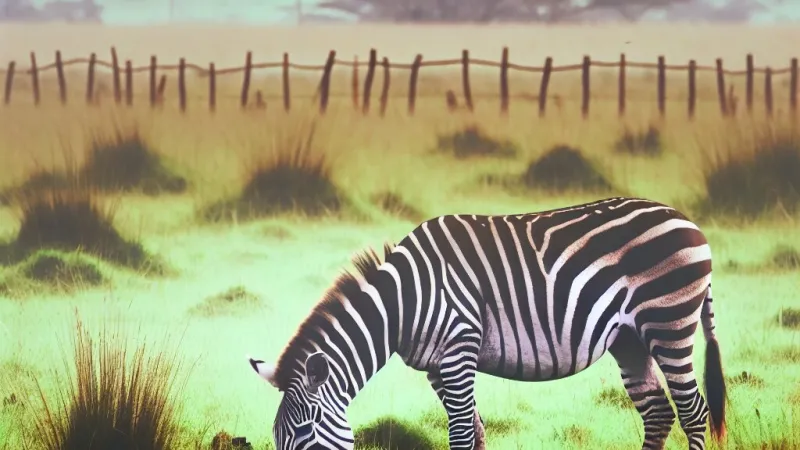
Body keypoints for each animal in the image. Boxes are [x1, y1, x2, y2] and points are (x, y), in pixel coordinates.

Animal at [247, 197, 727, 450]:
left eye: (305, 433)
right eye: (274, 436)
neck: (403, 303)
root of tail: (689, 222)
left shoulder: (459, 350)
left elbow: (460, 433)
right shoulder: (437, 367)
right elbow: (474, 431)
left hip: (668, 323)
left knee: (693, 411)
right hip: (629, 339)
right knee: (659, 412)